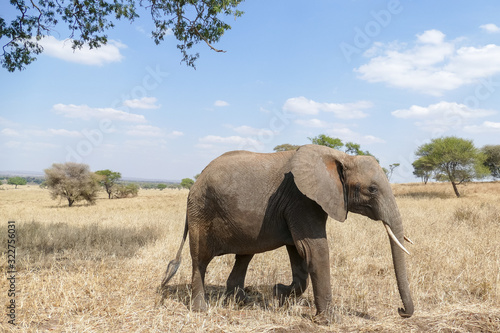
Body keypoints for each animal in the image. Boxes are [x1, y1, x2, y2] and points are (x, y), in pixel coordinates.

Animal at [161, 145, 414, 322]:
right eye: (372, 189)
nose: (401, 310)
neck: (340, 157)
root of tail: (195, 183)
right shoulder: (302, 200)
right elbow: (314, 249)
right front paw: (330, 321)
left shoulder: (301, 204)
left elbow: (298, 250)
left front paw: (279, 293)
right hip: (200, 211)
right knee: (200, 259)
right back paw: (201, 309)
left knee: (244, 255)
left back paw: (242, 301)